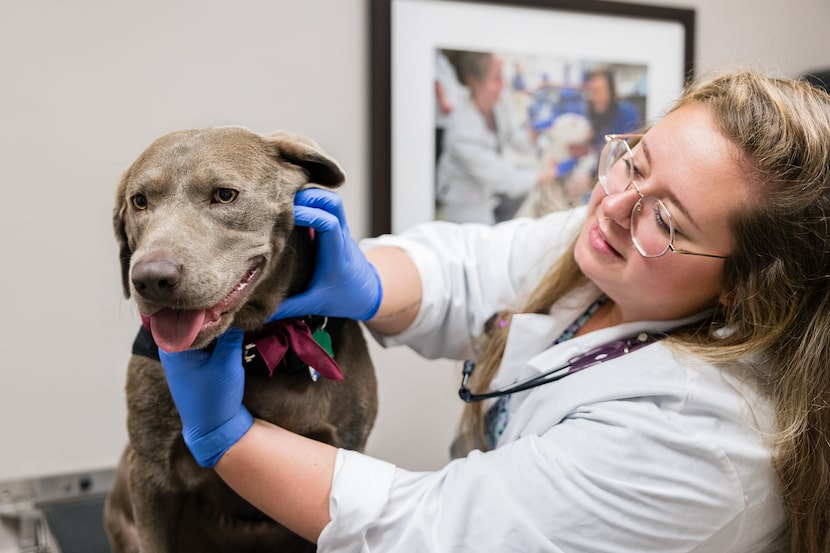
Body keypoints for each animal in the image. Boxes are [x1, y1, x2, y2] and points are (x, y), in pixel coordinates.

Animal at [105, 126, 380, 552]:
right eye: (139, 201)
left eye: (224, 195)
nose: (150, 278)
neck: (260, 349)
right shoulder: (150, 472)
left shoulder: (349, 446)